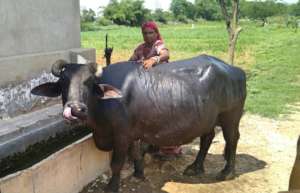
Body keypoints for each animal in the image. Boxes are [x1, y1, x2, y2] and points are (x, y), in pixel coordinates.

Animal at [31, 54, 246, 191]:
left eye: (90, 83)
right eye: (63, 83)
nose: (76, 110)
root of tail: (235, 70)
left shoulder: (121, 135)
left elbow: (117, 163)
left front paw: (112, 186)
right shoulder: (132, 133)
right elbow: (135, 153)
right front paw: (139, 173)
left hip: (230, 117)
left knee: (232, 139)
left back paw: (226, 171)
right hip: (208, 119)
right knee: (207, 138)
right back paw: (195, 167)